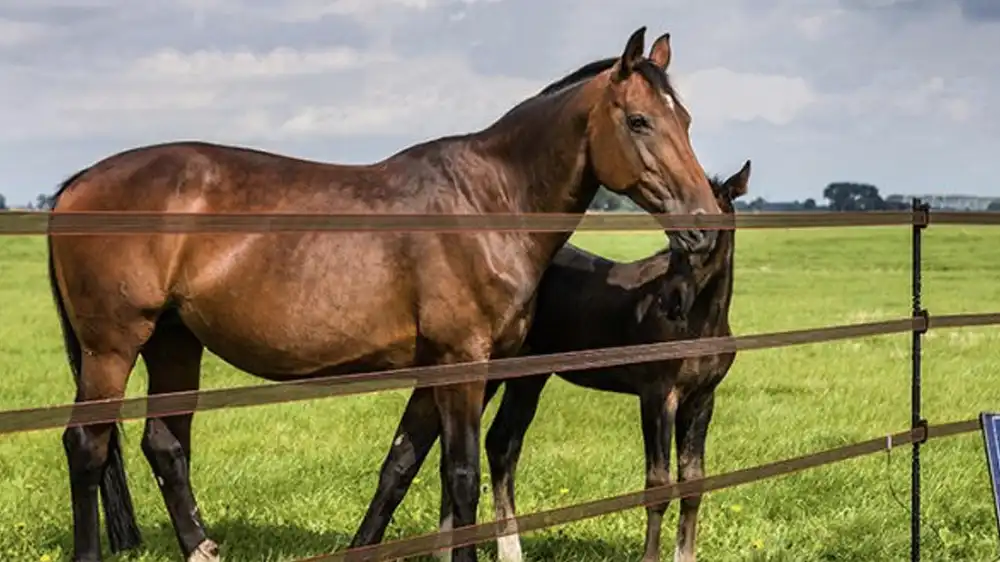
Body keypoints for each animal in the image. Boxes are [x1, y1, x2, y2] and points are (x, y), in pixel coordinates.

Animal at [47, 27, 720, 562]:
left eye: (686, 121)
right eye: (639, 121)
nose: (706, 227)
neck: (487, 203)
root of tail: (78, 183)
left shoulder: (438, 371)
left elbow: (399, 467)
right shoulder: (462, 364)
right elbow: (460, 476)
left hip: (174, 341)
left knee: (165, 443)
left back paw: (201, 548)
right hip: (113, 347)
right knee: (87, 445)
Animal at [482, 161, 751, 562]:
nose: (671, 300)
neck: (701, 324)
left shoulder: (701, 399)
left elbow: (693, 482)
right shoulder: (658, 395)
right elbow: (658, 483)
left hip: (529, 378)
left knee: (501, 444)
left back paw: (509, 551)